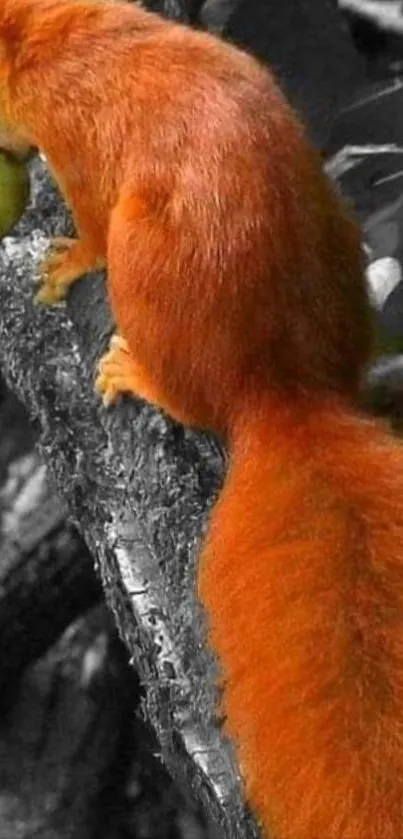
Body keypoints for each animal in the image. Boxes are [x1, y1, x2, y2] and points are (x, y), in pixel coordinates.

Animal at [0, 1, 403, 839]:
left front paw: (66, 260)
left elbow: (86, 221)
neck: (50, 30)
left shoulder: (68, 134)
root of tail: (279, 387)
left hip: (145, 250)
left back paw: (141, 377)